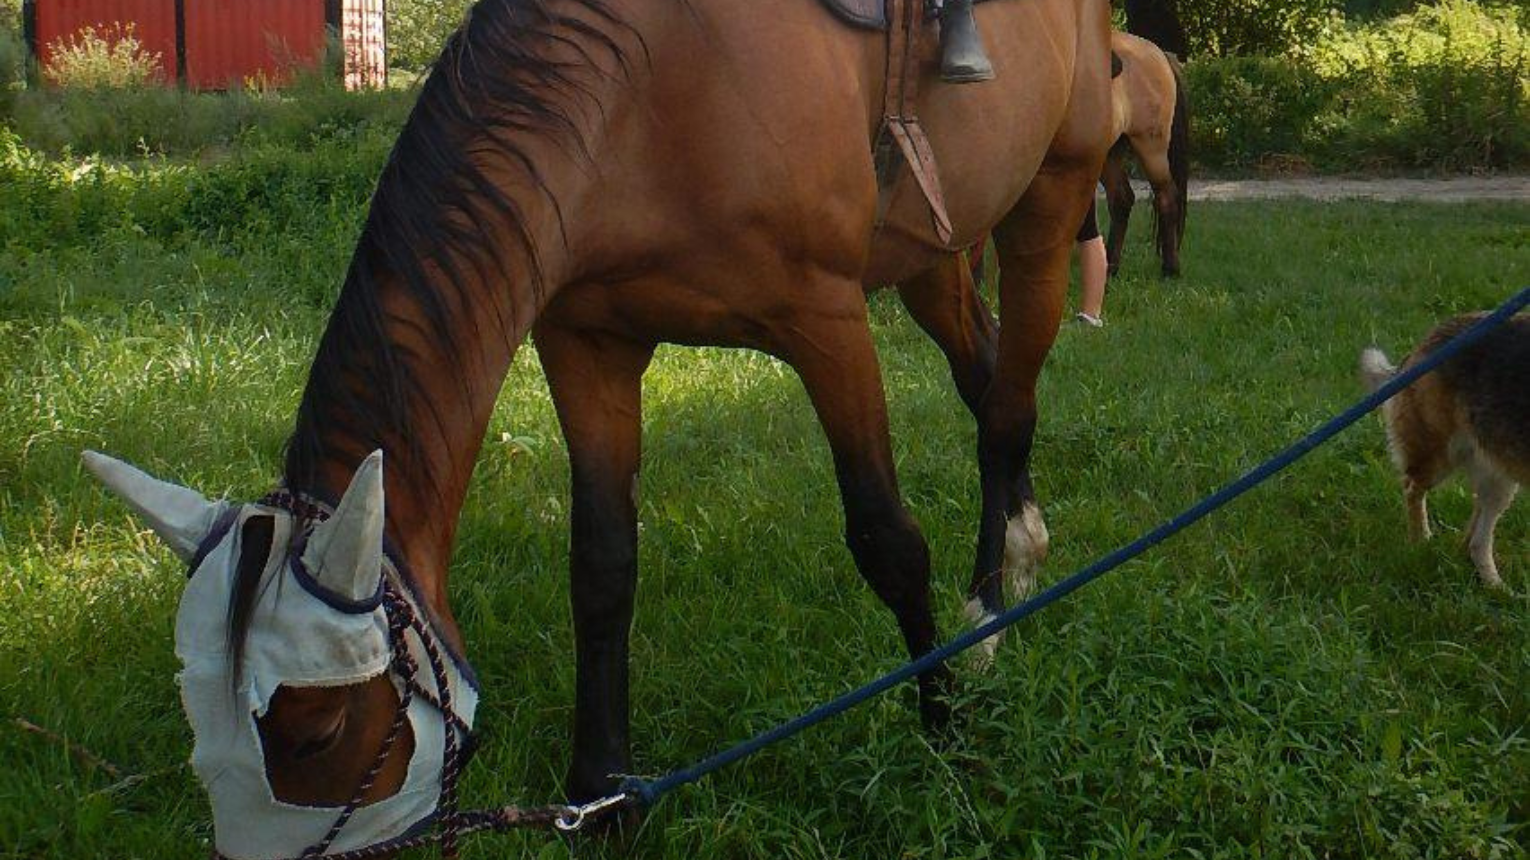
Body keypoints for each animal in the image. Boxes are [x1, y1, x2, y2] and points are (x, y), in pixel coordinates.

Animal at [86, 0, 1113, 850]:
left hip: (1049, 202)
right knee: (987, 378)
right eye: (195, 724)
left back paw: (993, 603)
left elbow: (887, 540)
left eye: (321, 729)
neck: (649, 89)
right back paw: (1016, 554)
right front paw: (603, 789)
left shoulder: (826, 324)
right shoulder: (587, 343)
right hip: (930, 253)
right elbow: (602, 566)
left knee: (1008, 402)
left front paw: (945, 733)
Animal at [1101, 30, 1193, 275]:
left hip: (1152, 149)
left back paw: (1170, 269)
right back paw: (1110, 267)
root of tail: (1160, 53)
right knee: (1121, 200)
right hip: (1109, 152)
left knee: (1167, 197)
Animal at [1364, 310, 1530, 584]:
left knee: (1475, 540)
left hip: (1499, 471)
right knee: (1412, 488)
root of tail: (1428, 340)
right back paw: (1421, 542)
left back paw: (1493, 584)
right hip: (1438, 455)